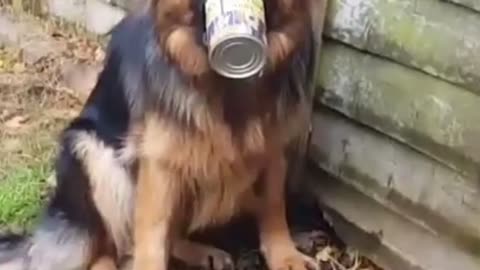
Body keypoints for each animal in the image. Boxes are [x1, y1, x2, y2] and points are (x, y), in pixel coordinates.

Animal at [0, 0, 318, 268]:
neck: (224, 84)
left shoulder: (273, 149)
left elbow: (275, 207)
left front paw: (286, 257)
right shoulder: (158, 164)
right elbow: (151, 234)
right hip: (90, 149)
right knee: (109, 248)